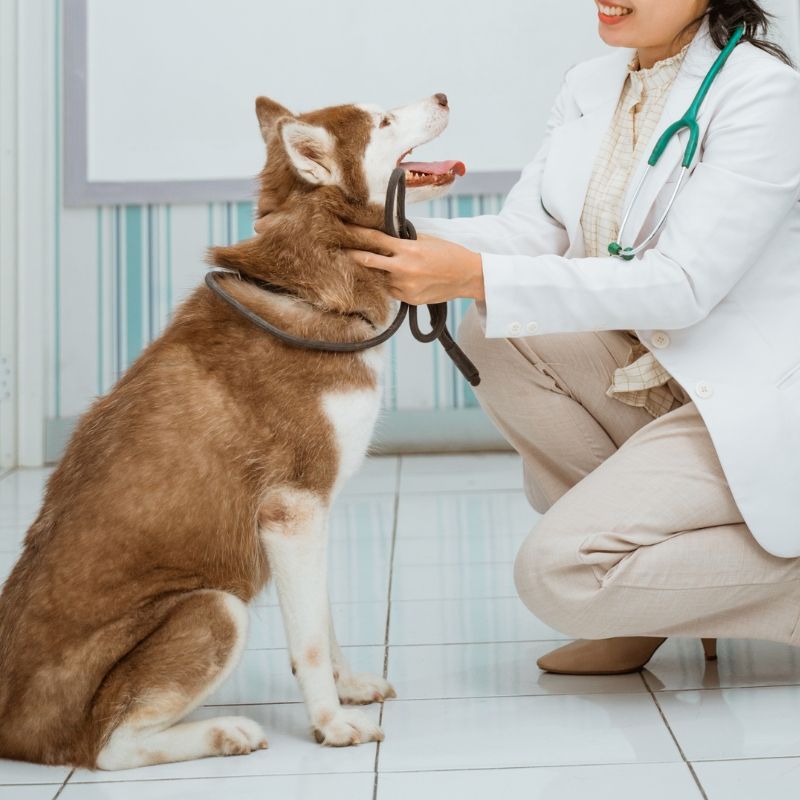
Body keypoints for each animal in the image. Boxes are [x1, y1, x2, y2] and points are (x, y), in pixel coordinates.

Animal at [0, 89, 462, 768]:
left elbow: (323, 619)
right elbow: (310, 642)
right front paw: (330, 724)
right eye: (382, 120)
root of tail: (13, 728)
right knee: (108, 747)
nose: (442, 95)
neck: (312, 287)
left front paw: (349, 689)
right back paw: (225, 733)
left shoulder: (311, 515)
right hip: (215, 608)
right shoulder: (293, 510)